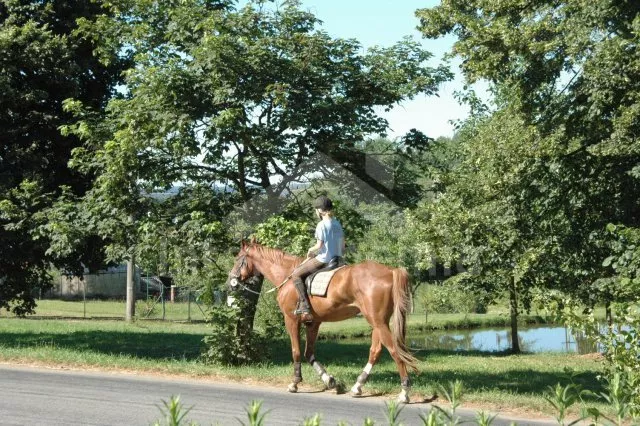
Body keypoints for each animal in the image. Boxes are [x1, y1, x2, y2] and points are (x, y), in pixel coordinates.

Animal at [228, 240, 418, 402]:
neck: (287, 275)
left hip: (378, 321)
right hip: (378, 322)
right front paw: (330, 381)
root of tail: (391, 271)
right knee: (376, 351)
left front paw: (295, 383)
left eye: (238, 258)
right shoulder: (313, 323)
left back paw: (404, 392)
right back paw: (357, 386)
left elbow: (296, 351)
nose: (231, 281)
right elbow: (309, 353)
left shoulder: (291, 320)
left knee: (394, 351)